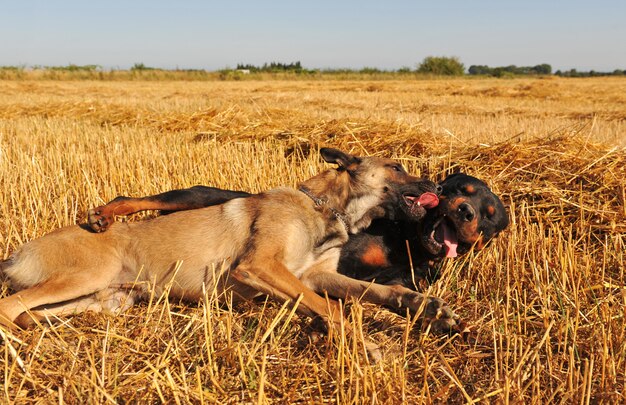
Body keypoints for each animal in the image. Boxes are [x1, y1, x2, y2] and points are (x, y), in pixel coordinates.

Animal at [0, 148, 458, 360]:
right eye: (397, 167)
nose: (437, 185)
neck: (323, 209)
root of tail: (17, 252)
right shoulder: (260, 266)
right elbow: (331, 307)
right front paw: (366, 346)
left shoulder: (315, 275)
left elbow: (371, 292)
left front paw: (426, 307)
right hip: (86, 277)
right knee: (9, 307)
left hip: (104, 299)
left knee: (28, 312)